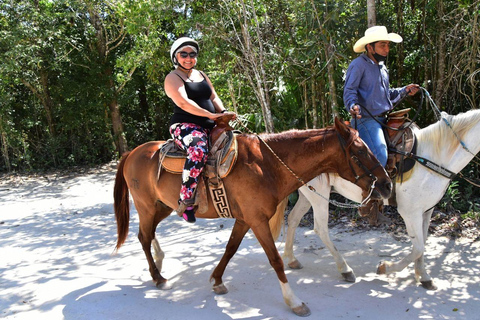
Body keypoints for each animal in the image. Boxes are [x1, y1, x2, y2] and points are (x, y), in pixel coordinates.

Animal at [114, 116, 392, 316]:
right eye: (359, 153)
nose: (387, 184)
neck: (268, 165)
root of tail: (131, 153)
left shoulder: (245, 219)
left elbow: (230, 248)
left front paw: (217, 280)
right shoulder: (257, 221)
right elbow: (275, 260)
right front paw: (294, 301)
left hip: (165, 206)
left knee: (149, 233)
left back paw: (160, 261)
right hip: (146, 206)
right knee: (143, 235)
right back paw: (158, 276)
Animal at [284, 110, 480, 290]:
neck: (432, 159)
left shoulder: (426, 211)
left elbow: (422, 244)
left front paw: (423, 276)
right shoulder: (410, 213)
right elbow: (418, 248)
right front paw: (385, 268)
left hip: (307, 194)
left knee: (293, 219)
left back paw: (291, 259)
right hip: (319, 194)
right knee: (320, 229)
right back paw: (345, 269)